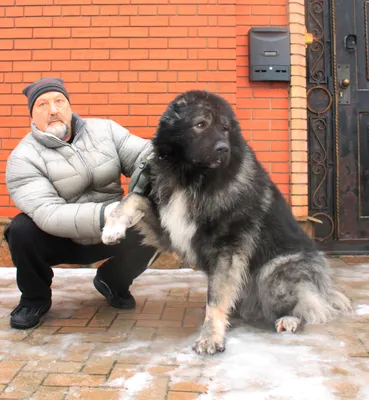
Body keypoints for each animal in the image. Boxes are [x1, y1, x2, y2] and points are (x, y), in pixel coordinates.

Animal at [101, 91, 350, 356]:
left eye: (225, 129)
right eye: (201, 124)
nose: (223, 148)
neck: (193, 179)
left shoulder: (227, 250)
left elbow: (216, 299)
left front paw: (210, 337)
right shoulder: (170, 231)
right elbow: (133, 198)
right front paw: (112, 228)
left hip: (273, 273)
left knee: (312, 308)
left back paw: (290, 319)